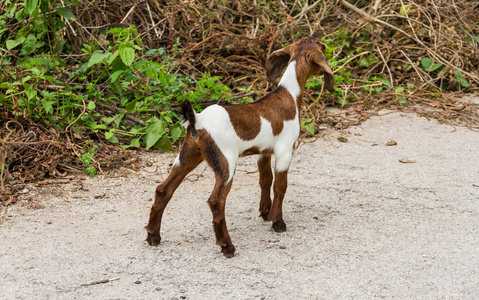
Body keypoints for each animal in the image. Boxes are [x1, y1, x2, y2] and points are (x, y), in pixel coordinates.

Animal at [144, 36, 336, 256]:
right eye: (323, 48)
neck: (288, 95)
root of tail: (197, 121)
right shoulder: (285, 149)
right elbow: (280, 185)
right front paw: (277, 222)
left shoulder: (264, 151)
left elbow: (265, 180)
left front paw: (265, 212)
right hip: (225, 160)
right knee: (216, 200)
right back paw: (227, 246)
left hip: (188, 154)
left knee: (163, 189)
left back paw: (153, 236)